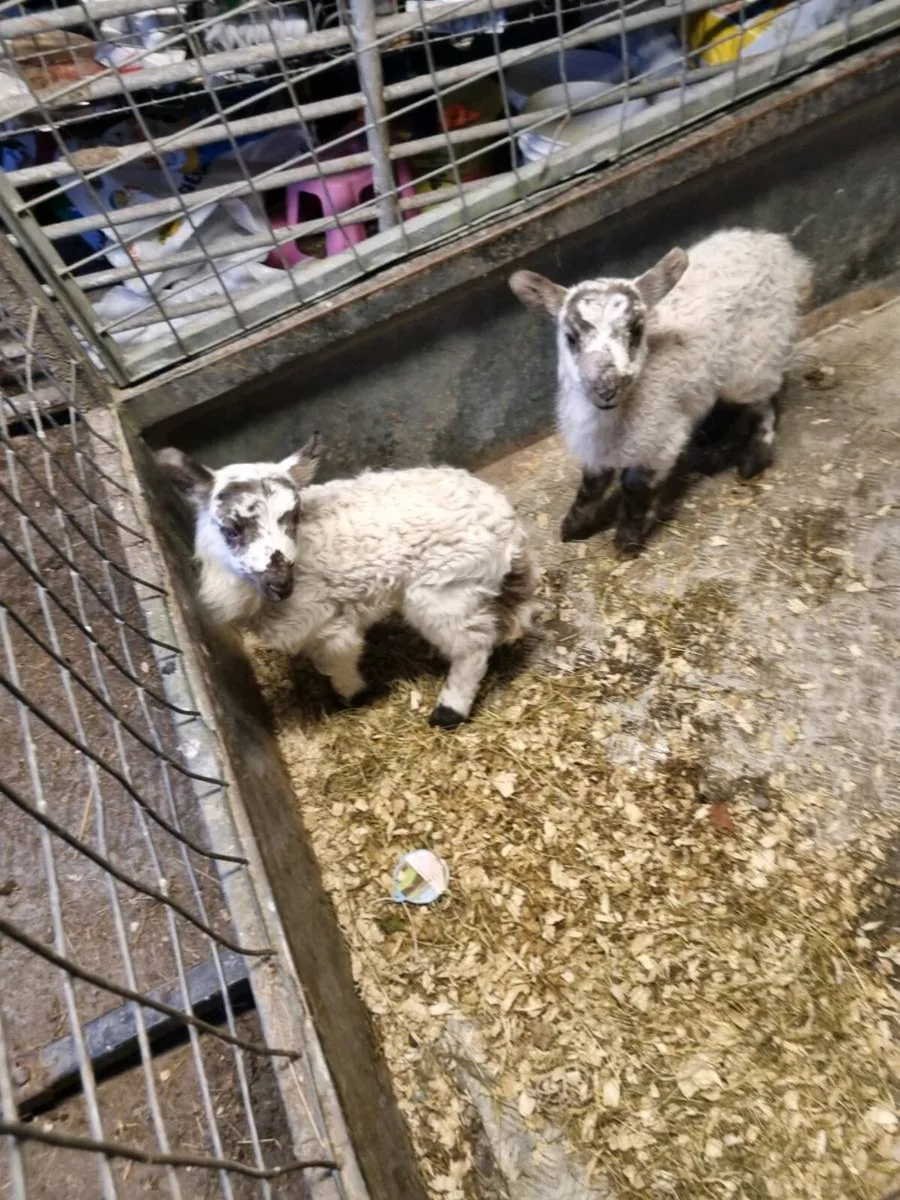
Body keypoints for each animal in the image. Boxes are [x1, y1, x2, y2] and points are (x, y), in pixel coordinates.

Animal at [156, 436, 538, 728]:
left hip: (443, 590)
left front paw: (354, 696)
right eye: (233, 529)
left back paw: (448, 712)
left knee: (472, 646)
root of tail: (507, 523)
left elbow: (337, 660)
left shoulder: (328, 621)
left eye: (293, 518)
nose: (281, 583)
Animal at [509, 228, 813, 553]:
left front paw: (628, 538)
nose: (606, 387)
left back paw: (753, 457)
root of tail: (774, 245)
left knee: (765, 399)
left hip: (756, 356)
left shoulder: (659, 439)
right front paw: (574, 525)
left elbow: (634, 485)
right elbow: (591, 484)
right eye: (571, 337)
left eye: (636, 331)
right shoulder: (596, 446)